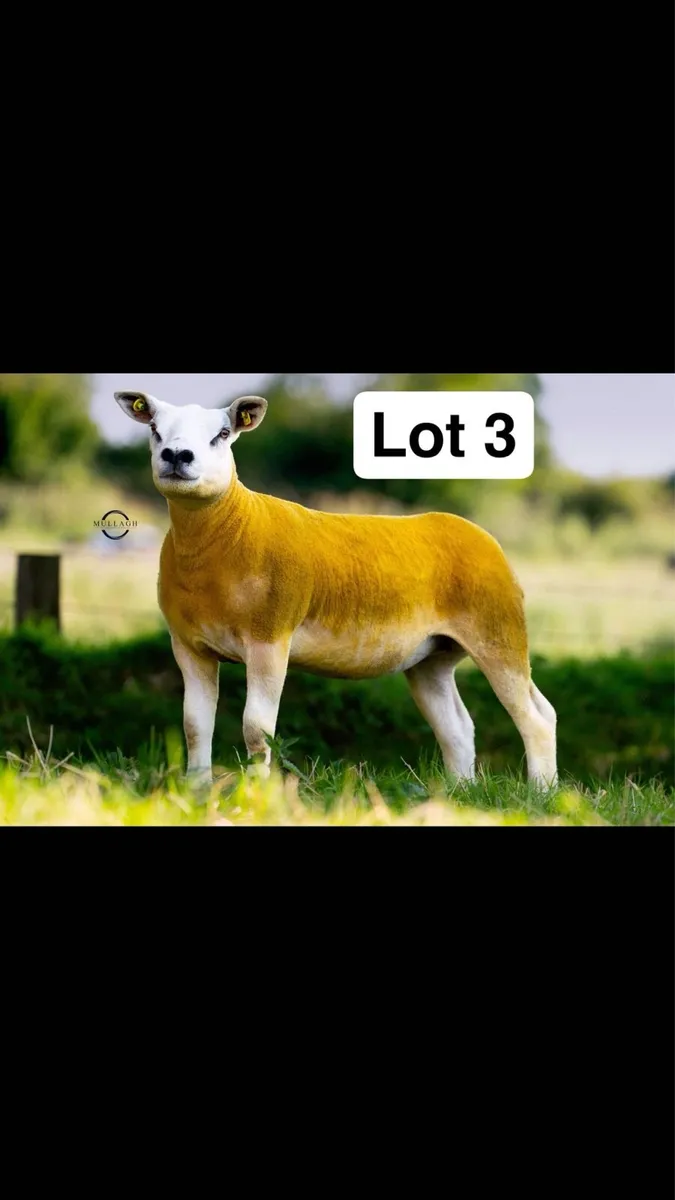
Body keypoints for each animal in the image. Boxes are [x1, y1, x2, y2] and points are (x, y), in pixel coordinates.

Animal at [115, 390, 558, 787]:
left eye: (223, 434)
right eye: (154, 429)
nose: (177, 456)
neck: (227, 529)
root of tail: (477, 533)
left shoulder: (270, 637)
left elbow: (257, 728)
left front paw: (254, 793)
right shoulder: (188, 645)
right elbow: (194, 725)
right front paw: (197, 790)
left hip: (498, 630)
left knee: (538, 716)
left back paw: (541, 794)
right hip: (432, 656)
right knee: (457, 727)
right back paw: (458, 793)